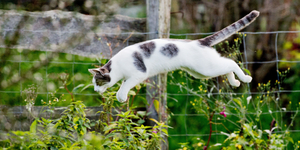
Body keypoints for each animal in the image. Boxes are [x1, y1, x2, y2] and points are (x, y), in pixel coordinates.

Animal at [89, 9, 260, 102]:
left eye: (98, 82)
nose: (95, 91)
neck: (117, 67)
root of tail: (200, 41)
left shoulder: (138, 74)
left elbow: (123, 86)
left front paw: (121, 97)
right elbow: (124, 84)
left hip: (206, 68)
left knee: (231, 62)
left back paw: (245, 79)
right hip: (201, 72)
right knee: (226, 65)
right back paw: (235, 82)